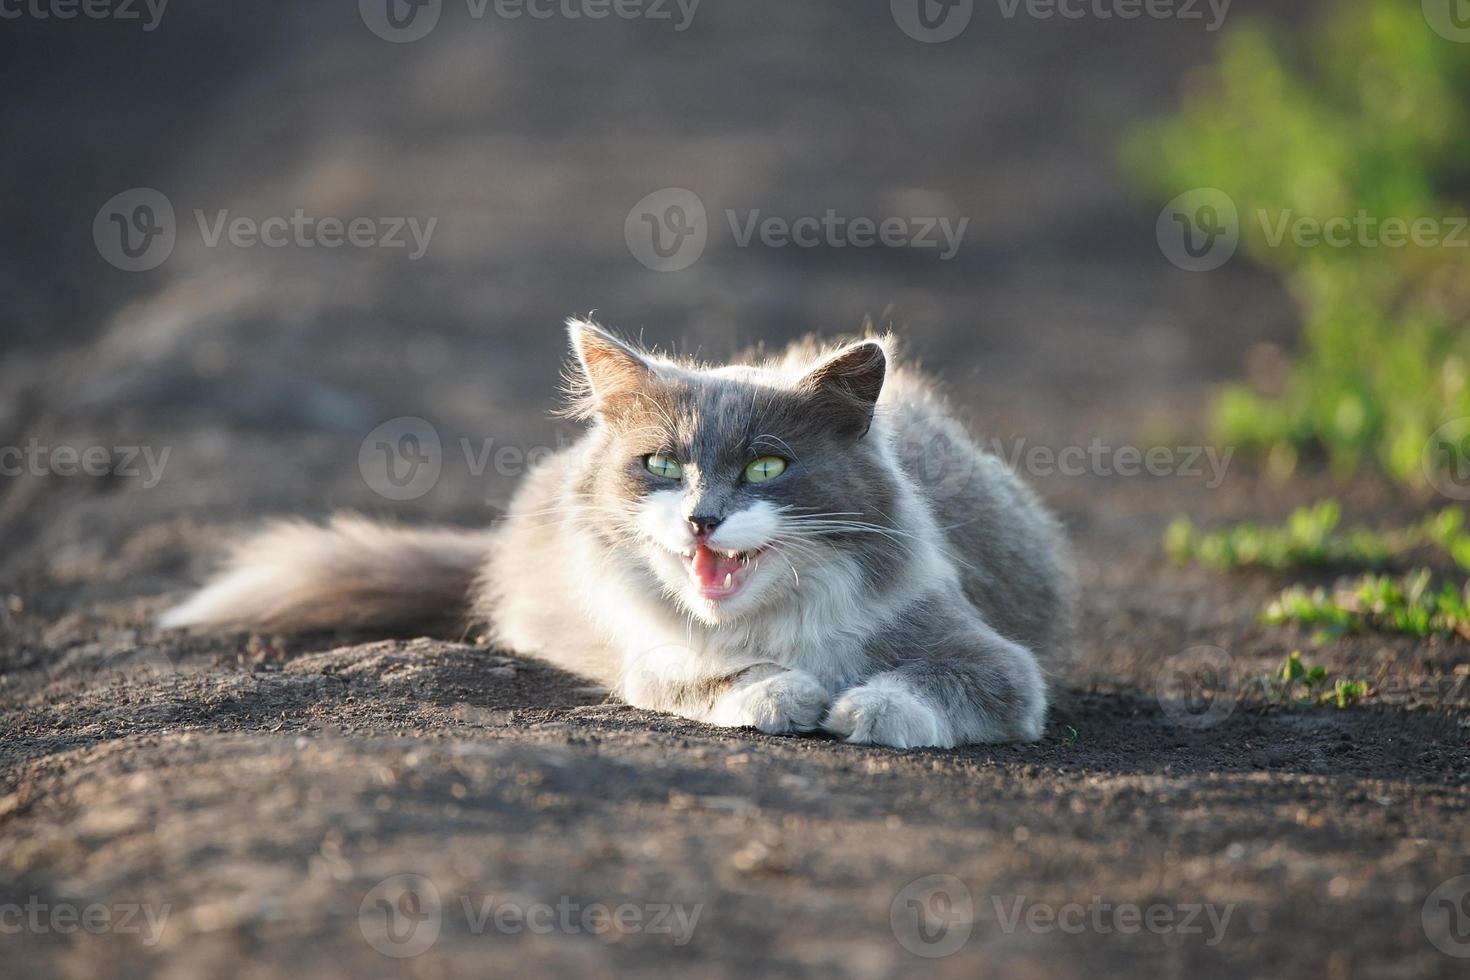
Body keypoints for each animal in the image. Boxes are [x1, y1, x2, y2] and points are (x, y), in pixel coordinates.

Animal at [166, 318, 1076, 746]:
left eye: (767, 469)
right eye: (664, 466)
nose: (703, 517)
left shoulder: (991, 658)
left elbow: (941, 685)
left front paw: (864, 708)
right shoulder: (653, 655)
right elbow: (712, 677)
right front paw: (785, 693)